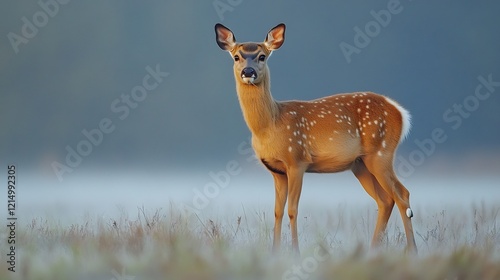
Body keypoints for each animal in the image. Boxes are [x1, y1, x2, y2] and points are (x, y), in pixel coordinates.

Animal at [215, 23, 418, 254]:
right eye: (236, 56)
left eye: (262, 56)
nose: (248, 72)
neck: (270, 125)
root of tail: (401, 113)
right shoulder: (276, 171)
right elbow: (277, 211)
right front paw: (274, 251)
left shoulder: (297, 160)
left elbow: (292, 209)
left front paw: (295, 251)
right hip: (360, 164)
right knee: (385, 200)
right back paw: (373, 249)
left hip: (381, 152)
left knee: (402, 194)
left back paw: (412, 251)